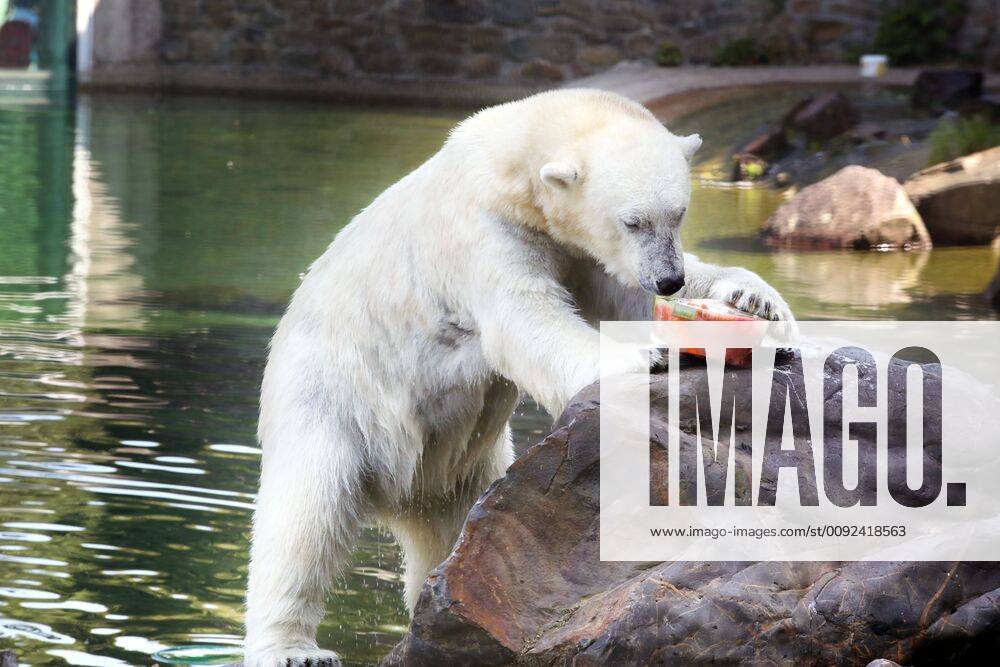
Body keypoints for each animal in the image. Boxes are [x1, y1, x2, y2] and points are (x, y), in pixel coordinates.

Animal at [243, 88, 794, 666]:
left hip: (471, 466)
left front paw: (756, 301)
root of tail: (401, 492)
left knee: (452, 523)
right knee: (308, 513)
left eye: (678, 213)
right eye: (632, 221)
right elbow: (524, 320)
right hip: (331, 397)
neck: (508, 169)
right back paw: (294, 647)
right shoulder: (483, 233)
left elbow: (626, 300)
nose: (668, 278)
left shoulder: (577, 253)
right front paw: (650, 356)